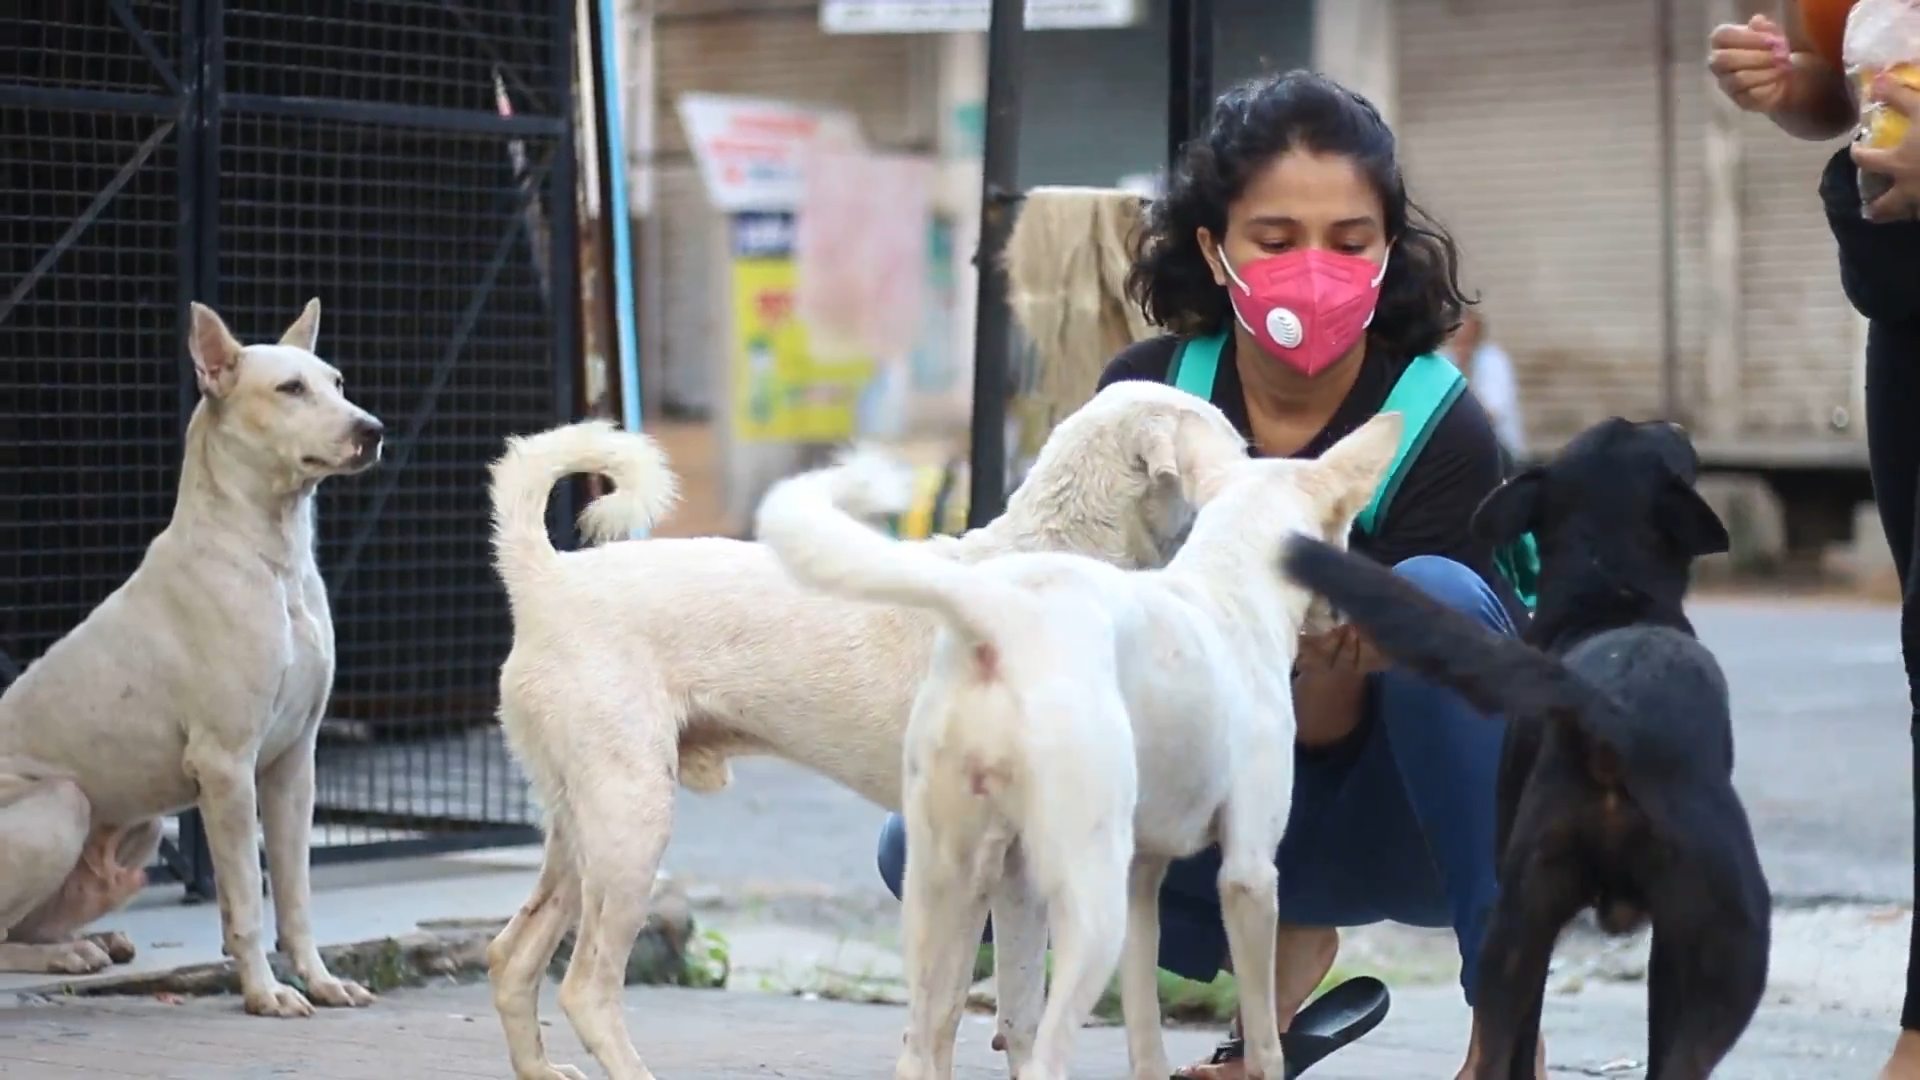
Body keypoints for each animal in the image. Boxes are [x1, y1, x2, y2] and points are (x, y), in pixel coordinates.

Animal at [0, 297, 385, 1014]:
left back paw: (94, 941)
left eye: (338, 382)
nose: (371, 430)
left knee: (26, 924)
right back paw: (68, 953)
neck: (273, 558)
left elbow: (295, 893)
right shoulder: (227, 766)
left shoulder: (294, 765)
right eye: (289, 389)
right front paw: (265, 994)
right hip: (62, 803)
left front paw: (320, 981)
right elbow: (245, 900)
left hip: (144, 828)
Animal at [483, 378, 1244, 1076]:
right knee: (586, 988)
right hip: (631, 824)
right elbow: (942, 1013)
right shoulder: (964, 861)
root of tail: (545, 578)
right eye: (1234, 449)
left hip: (580, 831)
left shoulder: (1019, 872)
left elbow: (1022, 1016)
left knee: (511, 956)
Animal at [756, 409, 1405, 1076]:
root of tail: (1002, 613)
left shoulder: (1143, 880)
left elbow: (1145, 1030)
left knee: (930, 1040)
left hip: (956, 879)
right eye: (1348, 532)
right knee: (1045, 1051)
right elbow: (1265, 1039)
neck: (1227, 583)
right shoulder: (1248, 872)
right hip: (1089, 903)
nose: (1351, 619)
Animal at [1274, 418, 1766, 1076]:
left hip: (1521, 923)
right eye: (1656, 436)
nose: (1677, 424)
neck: (1608, 588)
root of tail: (1611, 714)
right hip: (1727, 955)